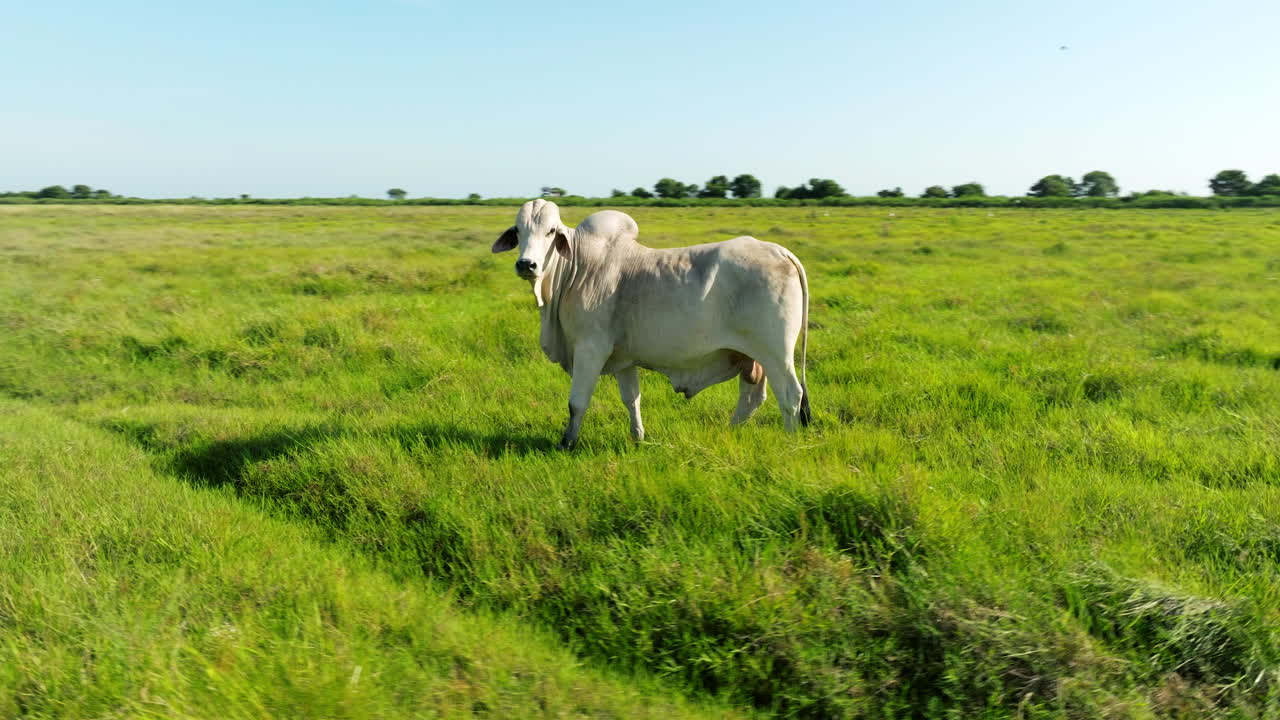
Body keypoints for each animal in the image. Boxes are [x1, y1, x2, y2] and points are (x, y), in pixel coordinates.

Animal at [492, 199, 811, 449]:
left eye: (551, 231)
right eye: (518, 230)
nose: (527, 264)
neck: (576, 268)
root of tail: (781, 251)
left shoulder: (590, 349)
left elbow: (577, 402)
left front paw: (567, 443)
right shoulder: (623, 358)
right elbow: (632, 399)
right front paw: (638, 437)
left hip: (776, 353)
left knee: (791, 395)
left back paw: (790, 442)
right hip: (753, 357)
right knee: (752, 398)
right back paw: (730, 432)